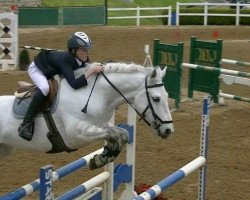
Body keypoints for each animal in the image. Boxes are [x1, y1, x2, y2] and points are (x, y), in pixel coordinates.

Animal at [0, 62, 173, 169]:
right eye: (156, 99)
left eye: (167, 95)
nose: (168, 130)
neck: (95, 94)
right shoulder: (75, 134)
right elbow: (111, 134)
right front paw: (104, 155)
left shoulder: (100, 123)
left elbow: (122, 133)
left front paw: (104, 156)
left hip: (5, 149)